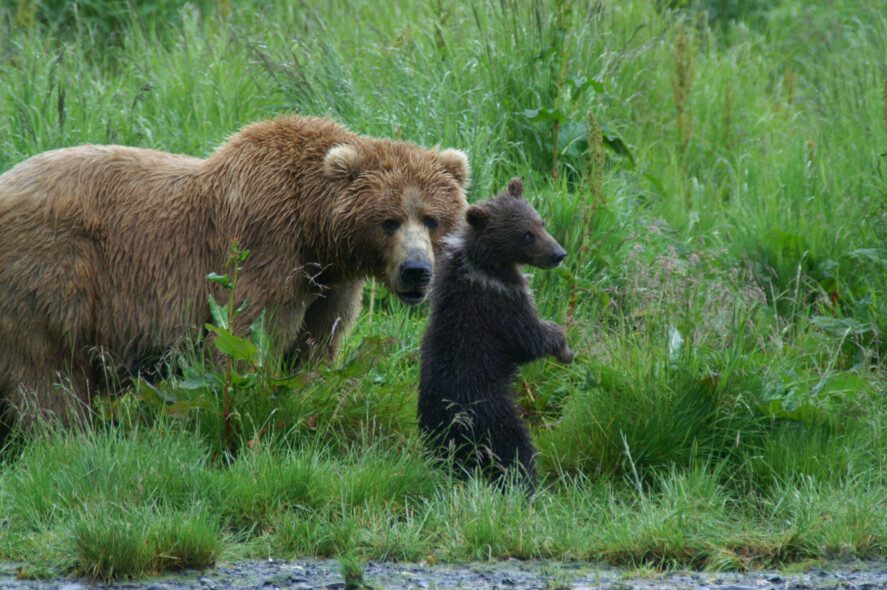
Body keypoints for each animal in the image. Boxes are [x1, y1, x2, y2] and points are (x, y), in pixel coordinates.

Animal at [0, 115, 472, 430]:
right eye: (388, 221)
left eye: (431, 218)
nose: (416, 271)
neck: (315, 231)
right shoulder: (266, 249)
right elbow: (246, 338)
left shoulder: (329, 285)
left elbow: (316, 348)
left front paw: (310, 393)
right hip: (53, 269)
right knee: (47, 370)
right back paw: (66, 432)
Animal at [420, 178, 572, 492]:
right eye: (526, 235)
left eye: (541, 222)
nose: (558, 254)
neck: (487, 267)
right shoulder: (498, 306)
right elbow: (529, 339)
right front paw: (564, 347)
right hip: (489, 411)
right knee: (512, 447)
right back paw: (525, 483)